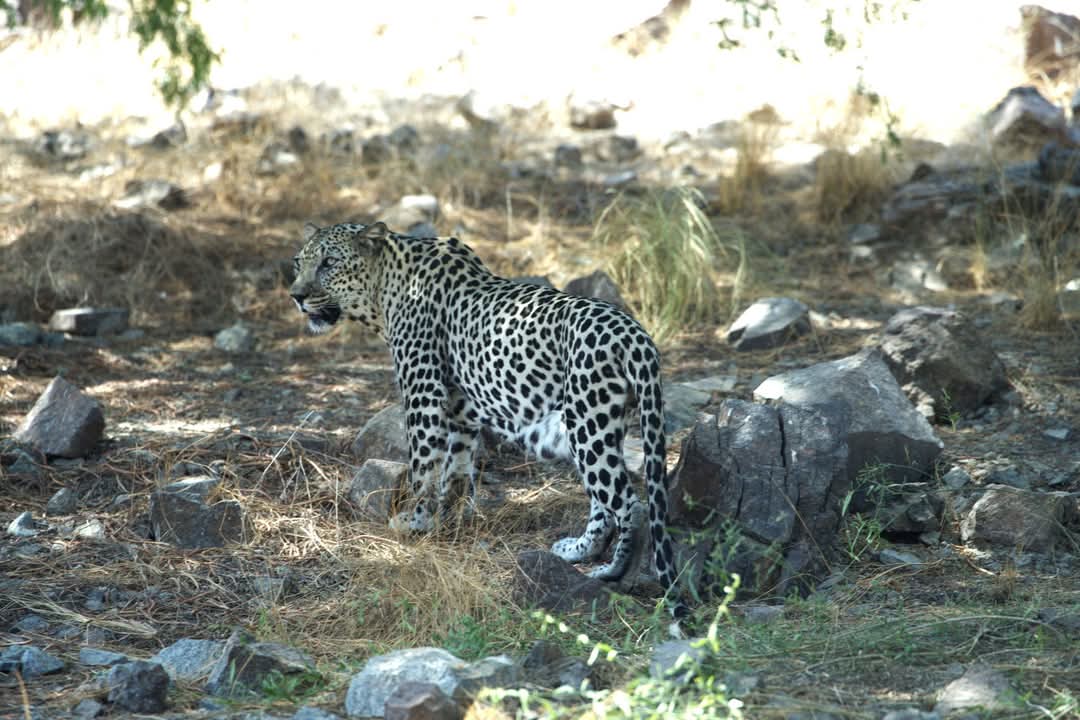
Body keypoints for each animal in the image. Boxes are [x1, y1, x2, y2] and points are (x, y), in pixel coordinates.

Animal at [290, 221, 684, 616]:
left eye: (328, 263)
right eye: (298, 262)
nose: (296, 296)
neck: (384, 288)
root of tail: (636, 334)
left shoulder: (422, 394)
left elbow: (422, 467)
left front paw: (412, 522)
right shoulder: (460, 408)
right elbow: (455, 469)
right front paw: (442, 519)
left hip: (588, 423)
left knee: (630, 503)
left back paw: (614, 570)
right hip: (593, 423)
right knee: (603, 500)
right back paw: (578, 551)